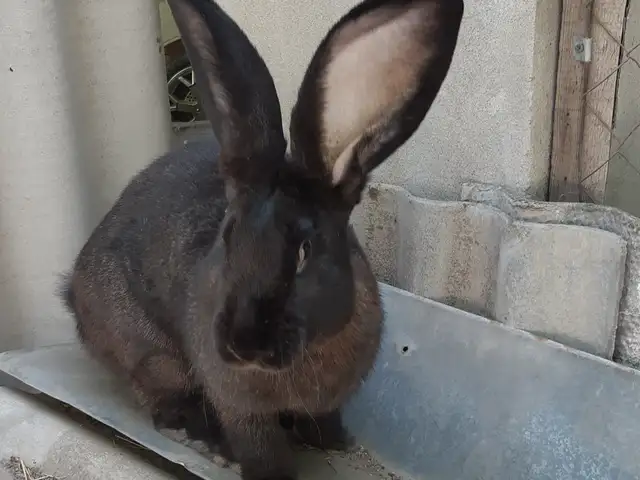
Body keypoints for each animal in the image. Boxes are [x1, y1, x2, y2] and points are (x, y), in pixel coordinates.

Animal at [61, 0, 464, 478]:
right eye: (228, 239)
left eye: (306, 251)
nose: (244, 343)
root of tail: (72, 294)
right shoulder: (239, 407)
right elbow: (259, 444)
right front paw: (270, 471)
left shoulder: (331, 400)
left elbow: (324, 417)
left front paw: (334, 441)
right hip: (151, 353)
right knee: (164, 400)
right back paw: (204, 438)